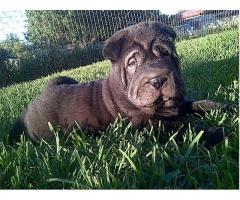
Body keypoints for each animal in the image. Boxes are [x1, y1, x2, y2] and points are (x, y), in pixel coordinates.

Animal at [10, 21, 230, 147]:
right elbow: (180, 127)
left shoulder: (179, 103)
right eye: (132, 63)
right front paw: (212, 132)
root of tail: (26, 111)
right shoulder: (146, 125)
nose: (158, 80)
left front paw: (228, 108)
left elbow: (201, 103)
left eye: (166, 53)